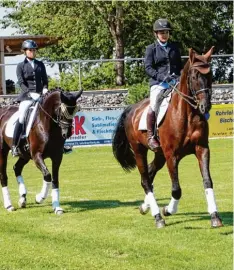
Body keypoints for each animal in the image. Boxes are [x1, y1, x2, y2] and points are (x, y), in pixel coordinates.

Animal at [112, 47, 224, 229]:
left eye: (210, 75)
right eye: (194, 76)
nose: (205, 106)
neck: (188, 115)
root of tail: (132, 108)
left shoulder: (202, 149)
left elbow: (208, 181)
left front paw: (215, 217)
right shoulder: (172, 155)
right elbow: (176, 189)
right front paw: (168, 210)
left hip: (160, 154)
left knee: (149, 175)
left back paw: (145, 207)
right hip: (139, 150)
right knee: (145, 180)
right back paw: (158, 217)